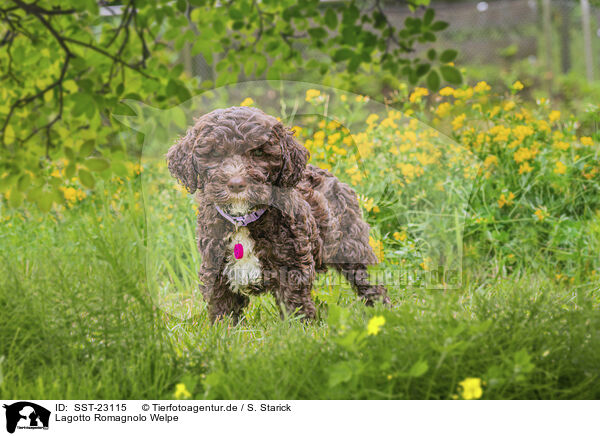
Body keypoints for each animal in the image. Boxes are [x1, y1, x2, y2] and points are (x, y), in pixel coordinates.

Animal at [168, 106, 390, 320]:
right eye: (215, 154)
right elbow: (223, 306)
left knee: (367, 278)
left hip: (352, 245)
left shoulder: (292, 266)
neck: (243, 219)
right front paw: (223, 328)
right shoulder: (216, 266)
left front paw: (298, 328)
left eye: (258, 153)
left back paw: (382, 310)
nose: (236, 184)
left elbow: (294, 304)